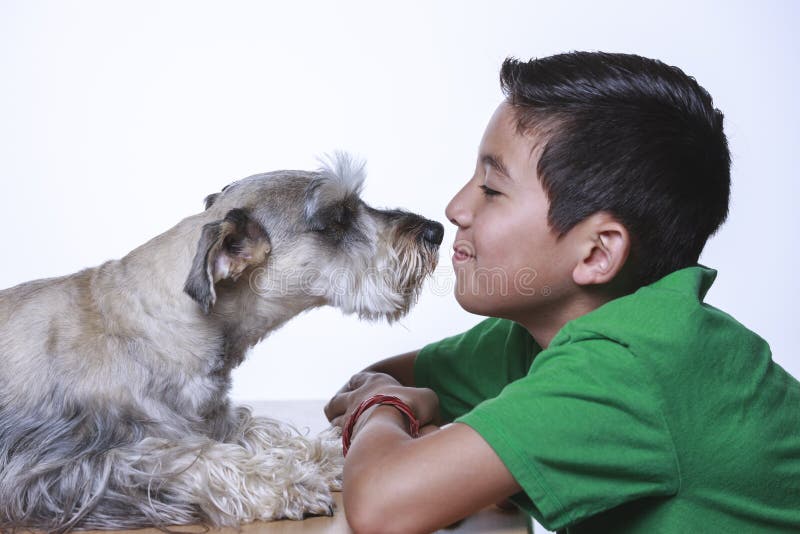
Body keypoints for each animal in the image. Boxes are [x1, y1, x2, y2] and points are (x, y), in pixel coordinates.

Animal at [0, 153, 444, 532]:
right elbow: (194, 460)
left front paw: (332, 454)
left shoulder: (215, 419)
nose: (435, 230)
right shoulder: (77, 463)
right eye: (337, 218)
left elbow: (268, 433)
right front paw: (289, 485)